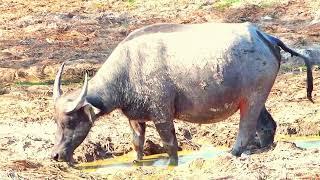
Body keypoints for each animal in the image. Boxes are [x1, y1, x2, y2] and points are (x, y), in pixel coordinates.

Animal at [50, 22, 312, 166]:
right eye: (56, 122)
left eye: (69, 121)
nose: (55, 155)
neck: (129, 67)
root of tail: (265, 36)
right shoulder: (135, 118)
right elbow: (137, 143)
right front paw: (136, 162)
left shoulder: (162, 115)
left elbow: (170, 144)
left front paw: (171, 164)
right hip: (257, 100)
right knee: (267, 126)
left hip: (253, 99)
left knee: (246, 130)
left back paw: (232, 153)